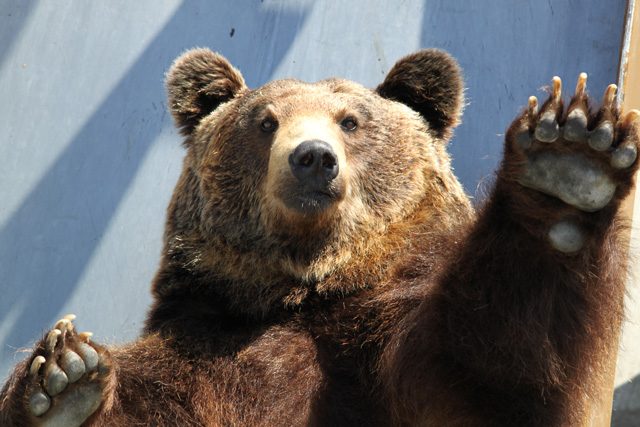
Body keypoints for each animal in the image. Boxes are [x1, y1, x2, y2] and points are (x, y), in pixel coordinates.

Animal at [1, 48, 640, 426]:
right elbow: (150, 396)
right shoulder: (209, 339)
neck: (305, 289)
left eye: (350, 121)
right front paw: (63, 377)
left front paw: (569, 158)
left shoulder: (382, 339)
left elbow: (492, 367)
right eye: (265, 122)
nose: (312, 158)